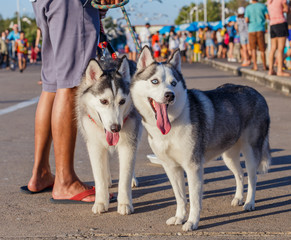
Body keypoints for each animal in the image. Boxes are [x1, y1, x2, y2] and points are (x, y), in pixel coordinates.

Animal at [76, 56, 143, 216]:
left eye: (122, 101)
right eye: (103, 101)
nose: (115, 128)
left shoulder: (128, 144)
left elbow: (125, 177)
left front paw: (125, 203)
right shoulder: (95, 146)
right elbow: (99, 176)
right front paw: (101, 202)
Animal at [131, 47, 272, 231]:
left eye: (173, 83)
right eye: (154, 81)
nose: (170, 95)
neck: (174, 122)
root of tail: (257, 92)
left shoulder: (193, 167)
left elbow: (194, 200)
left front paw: (192, 222)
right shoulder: (171, 168)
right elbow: (180, 197)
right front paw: (179, 217)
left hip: (250, 151)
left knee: (252, 177)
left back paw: (249, 202)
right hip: (228, 155)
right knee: (240, 174)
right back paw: (239, 198)